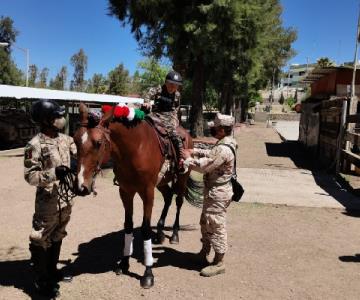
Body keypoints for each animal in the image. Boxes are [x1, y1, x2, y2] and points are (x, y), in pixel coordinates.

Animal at [73, 103, 194, 288]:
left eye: (98, 143)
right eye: (75, 139)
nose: (81, 187)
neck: (135, 149)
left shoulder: (147, 192)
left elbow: (145, 229)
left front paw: (148, 272)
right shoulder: (126, 191)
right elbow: (128, 225)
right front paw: (124, 263)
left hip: (182, 178)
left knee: (178, 201)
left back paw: (174, 234)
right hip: (162, 182)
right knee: (167, 198)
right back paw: (160, 232)